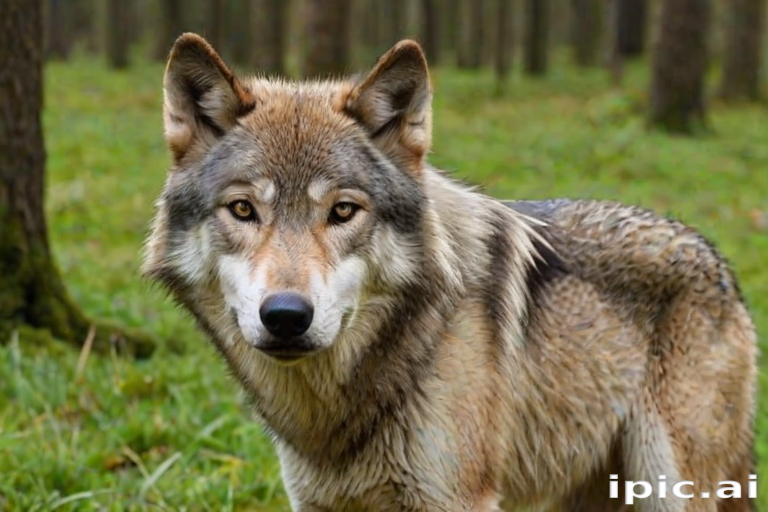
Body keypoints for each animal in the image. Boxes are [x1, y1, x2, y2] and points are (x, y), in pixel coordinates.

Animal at [142, 33, 758, 512]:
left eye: (343, 211)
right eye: (244, 209)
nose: (287, 316)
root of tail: (716, 259)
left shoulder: (458, 497)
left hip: (672, 485)